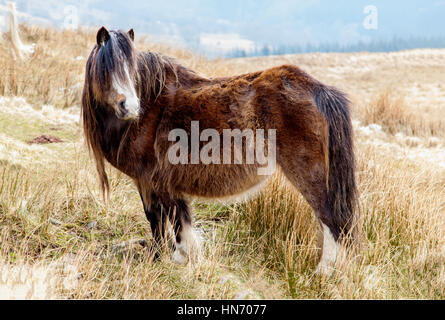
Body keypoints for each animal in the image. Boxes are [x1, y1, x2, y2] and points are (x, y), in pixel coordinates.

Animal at [80, 26, 358, 274]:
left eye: (132, 69)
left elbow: (173, 219)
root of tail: (317, 89)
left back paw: (324, 273)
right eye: (106, 69)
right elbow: (158, 218)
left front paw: (179, 258)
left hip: (311, 176)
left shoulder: (157, 180)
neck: (150, 108)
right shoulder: (149, 182)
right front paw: (161, 256)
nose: (129, 107)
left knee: (332, 221)